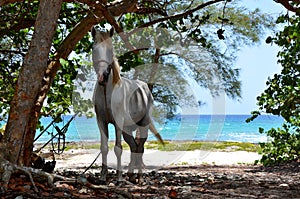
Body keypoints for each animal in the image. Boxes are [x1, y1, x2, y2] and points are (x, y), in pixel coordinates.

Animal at [92, 27, 164, 183]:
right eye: (94, 48)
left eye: (110, 50)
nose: (103, 76)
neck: (107, 91)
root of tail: (145, 87)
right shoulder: (101, 121)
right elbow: (104, 147)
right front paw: (103, 176)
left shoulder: (118, 121)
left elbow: (118, 148)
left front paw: (119, 178)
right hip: (128, 129)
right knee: (134, 147)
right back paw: (131, 175)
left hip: (143, 124)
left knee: (140, 148)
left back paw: (139, 177)